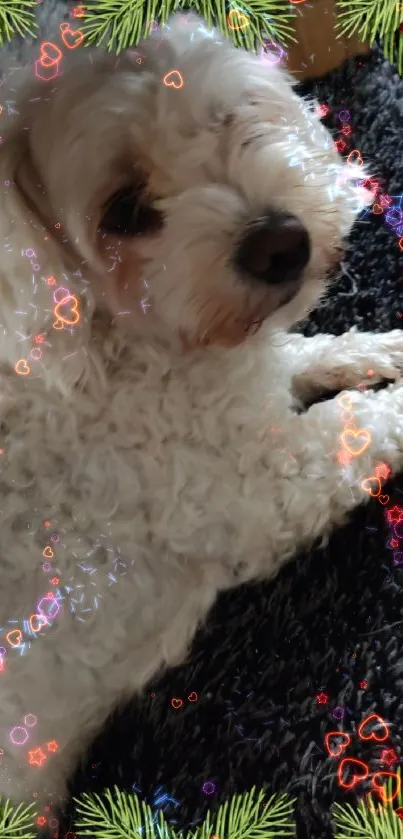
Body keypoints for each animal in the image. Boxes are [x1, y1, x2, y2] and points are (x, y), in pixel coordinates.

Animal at [0, 11, 403, 812]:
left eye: (232, 117)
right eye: (123, 211)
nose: (281, 243)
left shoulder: (255, 385)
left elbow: (310, 355)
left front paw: (380, 347)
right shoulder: (263, 487)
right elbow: (363, 421)